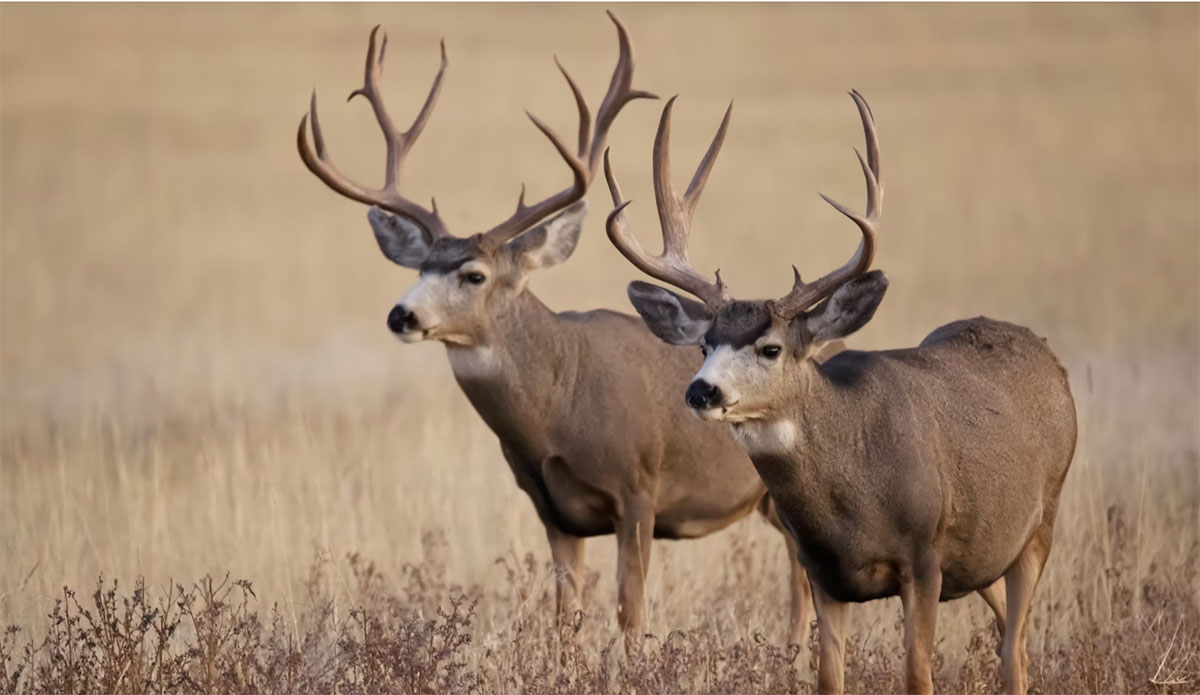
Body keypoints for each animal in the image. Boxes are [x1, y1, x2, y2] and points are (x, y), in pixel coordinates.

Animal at [296, 14, 818, 650]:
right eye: (419, 267)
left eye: (474, 274)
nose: (403, 315)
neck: (558, 405)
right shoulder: (552, 510)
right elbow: (564, 619)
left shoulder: (639, 491)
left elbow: (630, 614)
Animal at [603, 90, 1076, 694]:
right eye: (704, 343)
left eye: (771, 348)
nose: (701, 391)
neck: (853, 499)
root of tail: (1049, 357)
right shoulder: (822, 571)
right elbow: (828, 675)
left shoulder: (924, 559)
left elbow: (917, 675)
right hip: (987, 552)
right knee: (1010, 641)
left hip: (1042, 522)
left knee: (1015, 650)